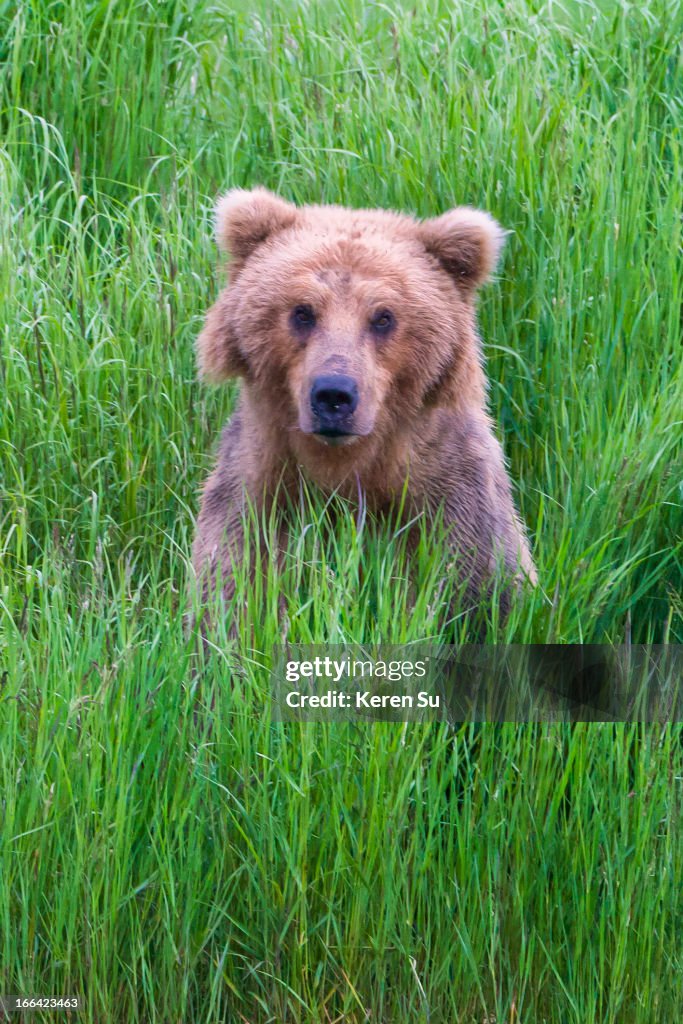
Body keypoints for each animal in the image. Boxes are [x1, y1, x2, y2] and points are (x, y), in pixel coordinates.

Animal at [189, 188, 536, 626]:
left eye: (383, 317)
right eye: (303, 311)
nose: (334, 394)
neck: (348, 464)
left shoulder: (446, 490)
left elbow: (477, 585)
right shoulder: (262, 484)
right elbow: (235, 583)